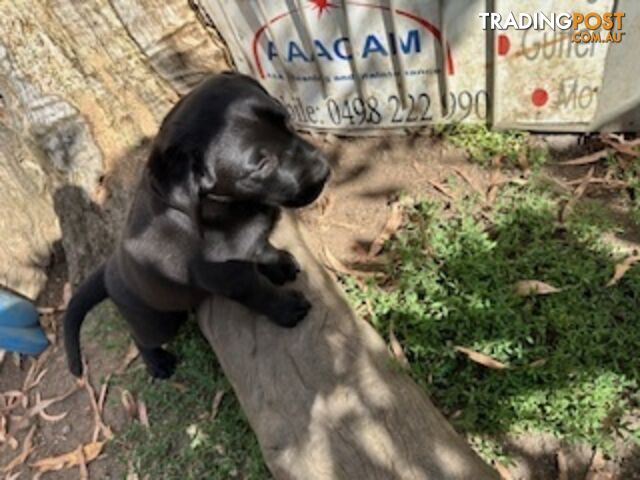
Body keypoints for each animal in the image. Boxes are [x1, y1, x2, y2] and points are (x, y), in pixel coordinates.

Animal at [65, 72, 330, 378]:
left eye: (286, 119)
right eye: (262, 164)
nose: (324, 171)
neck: (232, 207)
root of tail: (109, 269)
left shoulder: (247, 245)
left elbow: (261, 248)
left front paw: (279, 264)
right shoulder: (227, 277)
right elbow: (259, 293)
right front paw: (287, 308)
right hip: (158, 320)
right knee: (140, 338)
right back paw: (157, 363)